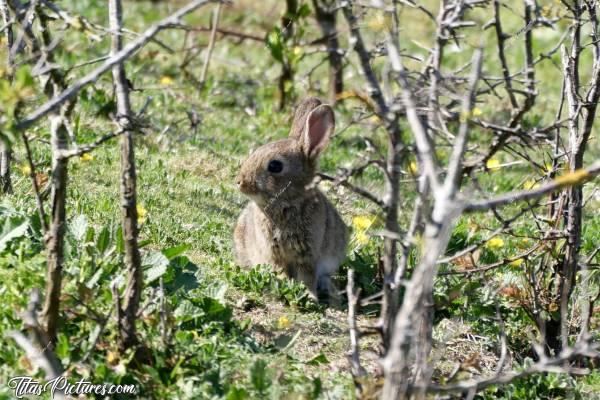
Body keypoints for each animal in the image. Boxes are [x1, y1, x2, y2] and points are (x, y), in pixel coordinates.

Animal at [233, 97, 346, 300]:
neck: (287, 203)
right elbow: (280, 270)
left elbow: (307, 276)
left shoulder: (308, 254)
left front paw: (310, 296)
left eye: (275, 166)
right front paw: (285, 285)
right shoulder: (273, 252)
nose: (240, 182)